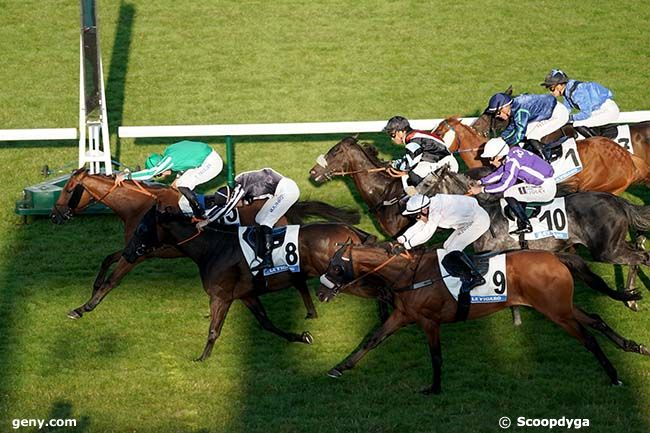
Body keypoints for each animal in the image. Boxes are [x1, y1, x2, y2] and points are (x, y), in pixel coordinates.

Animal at [50, 167, 356, 318]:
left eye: (68, 189)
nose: (54, 215)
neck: (139, 206)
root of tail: (291, 205)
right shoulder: (134, 248)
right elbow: (107, 260)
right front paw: (93, 288)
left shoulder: (140, 253)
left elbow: (114, 279)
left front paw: (83, 308)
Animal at [128, 205, 374, 358]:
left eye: (142, 228)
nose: (128, 253)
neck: (212, 248)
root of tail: (347, 229)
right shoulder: (246, 295)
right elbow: (267, 323)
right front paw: (302, 337)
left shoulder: (221, 296)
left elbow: (213, 329)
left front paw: (202, 357)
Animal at [316, 243, 648, 394]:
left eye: (335, 268)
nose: (320, 293)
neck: (408, 275)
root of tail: (555, 256)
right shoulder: (402, 315)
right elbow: (372, 339)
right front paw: (338, 368)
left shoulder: (429, 322)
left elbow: (436, 356)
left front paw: (434, 388)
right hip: (561, 306)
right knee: (596, 319)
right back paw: (633, 347)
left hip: (556, 312)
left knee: (589, 337)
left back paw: (615, 375)